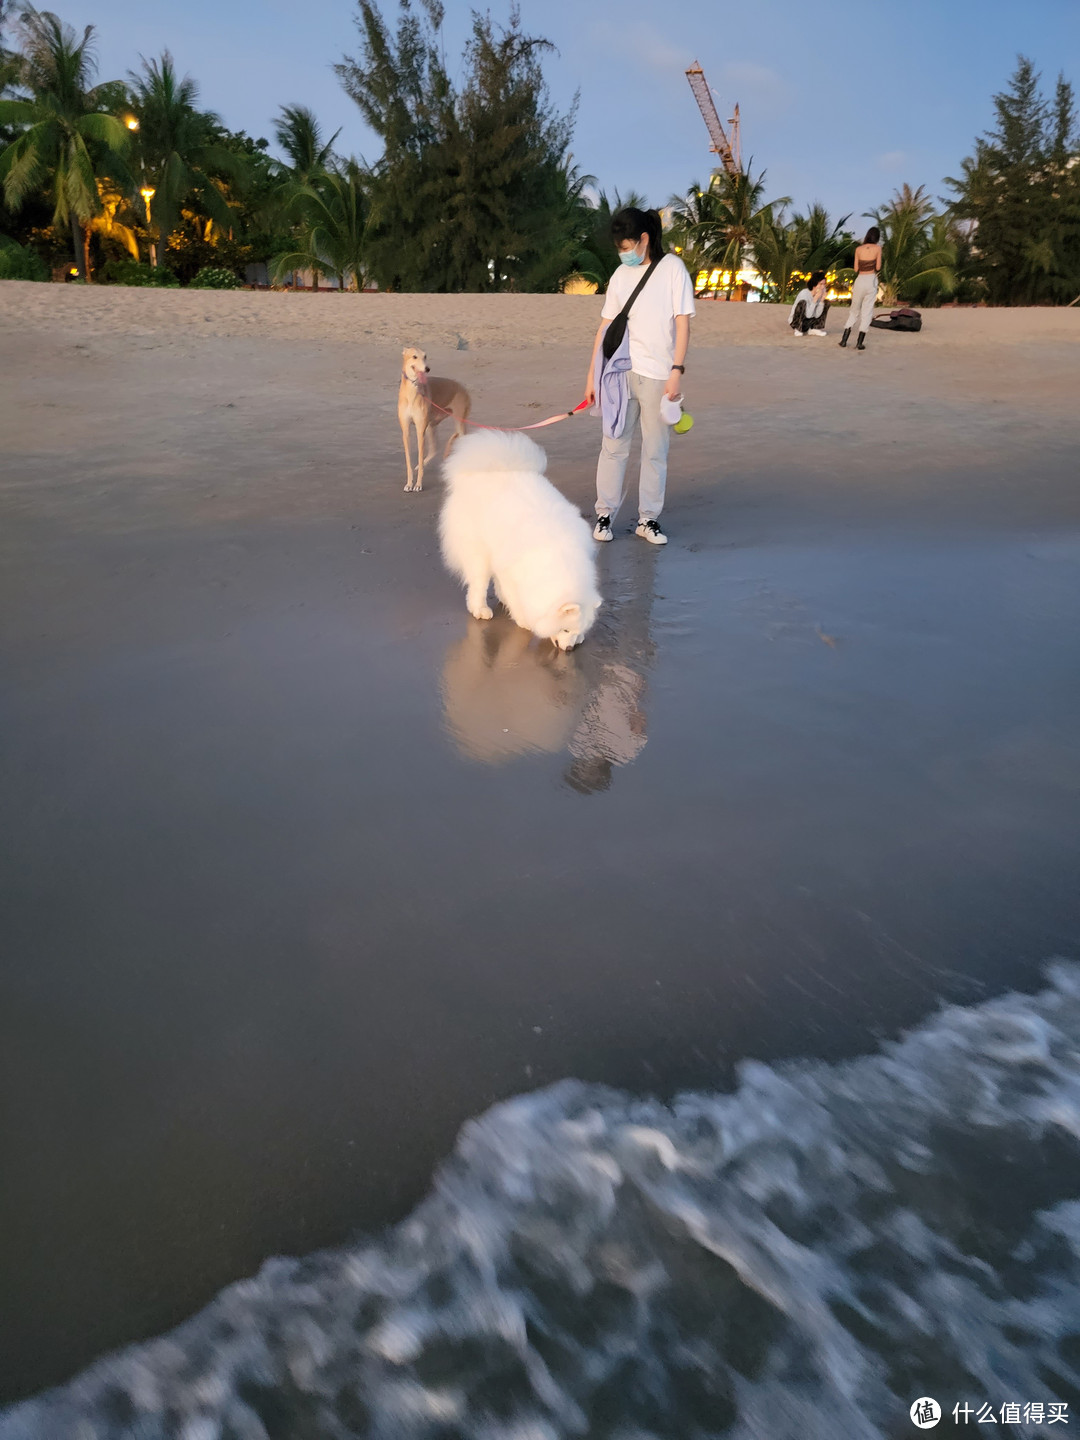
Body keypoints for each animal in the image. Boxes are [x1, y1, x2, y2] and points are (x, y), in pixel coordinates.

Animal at [400, 345, 472, 492]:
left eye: (425, 356)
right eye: (414, 356)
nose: (427, 369)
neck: (412, 392)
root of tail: (463, 388)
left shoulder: (420, 431)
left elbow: (420, 456)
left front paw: (418, 484)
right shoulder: (406, 431)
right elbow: (409, 461)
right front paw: (409, 483)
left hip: (458, 423)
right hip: (431, 425)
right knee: (434, 449)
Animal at [443, 429, 604, 650]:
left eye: (577, 631)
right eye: (565, 630)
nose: (570, 649)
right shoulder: (511, 573)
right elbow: (515, 598)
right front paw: (523, 620)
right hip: (479, 553)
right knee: (478, 583)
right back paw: (480, 609)